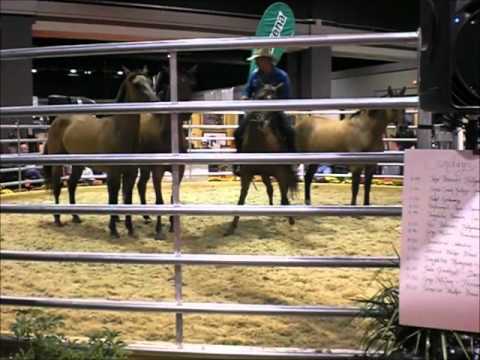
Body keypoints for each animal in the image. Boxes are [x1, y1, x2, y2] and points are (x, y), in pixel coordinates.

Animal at [43, 67, 158, 238]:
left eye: (150, 82)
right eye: (136, 85)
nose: (156, 102)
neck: (118, 132)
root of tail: (56, 121)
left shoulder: (130, 174)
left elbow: (128, 199)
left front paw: (130, 229)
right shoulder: (113, 174)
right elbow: (113, 198)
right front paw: (113, 230)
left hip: (78, 165)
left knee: (71, 185)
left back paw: (76, 217)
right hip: (57, 162)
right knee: (57, 186)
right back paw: (57, 220)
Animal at [135, 65, 197, 239]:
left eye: (191, 84)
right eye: (173, 83)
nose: (186, 114)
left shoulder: (180, 170)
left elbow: (172, 198)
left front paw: (172, 224)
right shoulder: (158, 170)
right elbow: (159, 200)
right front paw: (159, 230)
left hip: (145, 168)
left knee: (141, 185)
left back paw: (146, 217)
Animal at [224, 83, 296, 238]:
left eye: (274, 100)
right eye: (259, 97)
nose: (259, 120)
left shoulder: (281, 173)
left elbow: (284, 196)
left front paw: (291, 221)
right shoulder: (246, 174)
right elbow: (242, 197)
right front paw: (232, 227)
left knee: (282, 192)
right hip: (264, 175)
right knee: (270, 190)